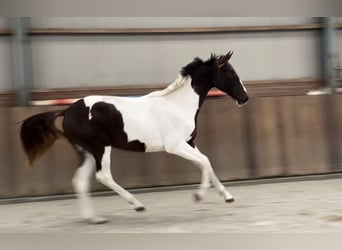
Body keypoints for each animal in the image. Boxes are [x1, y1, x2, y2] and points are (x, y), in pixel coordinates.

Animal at [19, 51, 248, 225]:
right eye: (229, 72)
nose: (245, 97)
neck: (178, 105)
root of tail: (67, 111)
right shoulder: (175, 145)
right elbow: (205, 162)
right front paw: (198, 196)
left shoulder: (190, 142)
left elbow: (206, 163)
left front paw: (227, 196)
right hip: (100, 147)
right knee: (103, 176)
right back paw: (137, 205)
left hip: (85, 152)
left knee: (80, 180)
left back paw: (94, 219)